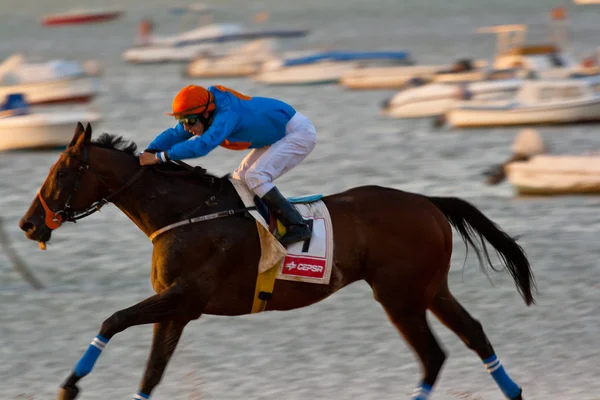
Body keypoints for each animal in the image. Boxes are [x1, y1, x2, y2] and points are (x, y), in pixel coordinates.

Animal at [18, 122, 536, 400]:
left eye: (61, 172)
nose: (27, 224)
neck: (187, 214)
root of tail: (427, 202)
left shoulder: (184, 298)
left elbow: (113, 319)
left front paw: (70, 384)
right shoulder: (176, 309)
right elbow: (151, 371)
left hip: (399, 296)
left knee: (432, 356)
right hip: (430, 289)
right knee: (473, 335)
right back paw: (512, 389)